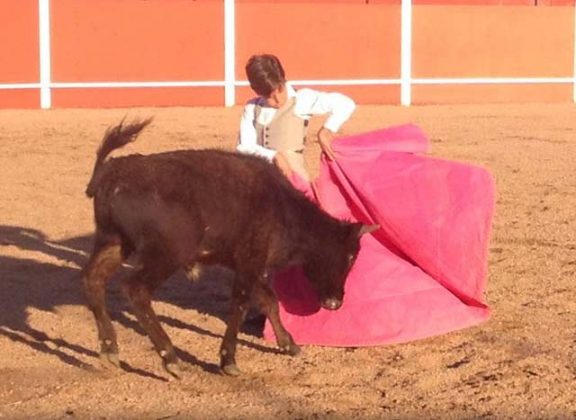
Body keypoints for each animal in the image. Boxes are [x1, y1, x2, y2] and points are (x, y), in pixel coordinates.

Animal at [83, 118, 376, 378]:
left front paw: (289, 344)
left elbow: (270, 301)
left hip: (113, 242)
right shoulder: (250, 262)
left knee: (93, 280)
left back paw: (110, 350)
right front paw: (229, 361)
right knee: (136, 290)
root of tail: (112, 173)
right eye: (351, 256)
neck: (284, 208)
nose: (335, 303)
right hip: (166, 255)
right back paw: (171, 358)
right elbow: (241, 304)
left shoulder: (252, 264)